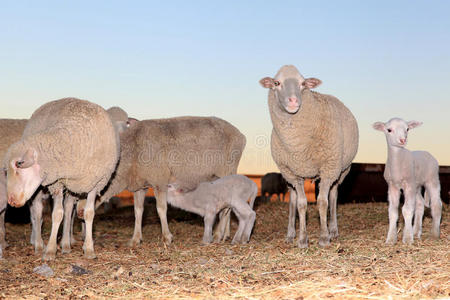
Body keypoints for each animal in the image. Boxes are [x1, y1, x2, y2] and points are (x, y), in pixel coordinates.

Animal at [3, 98, 119, 260]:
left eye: (19, 163)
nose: (11, 201)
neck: (76, 141)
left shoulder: (96, 182)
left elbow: (89, 213)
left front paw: (89, 249)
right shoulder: (56, 183)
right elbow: (57, 214)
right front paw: (50, 250)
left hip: (72, 187)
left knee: (69, 208)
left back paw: (65, 244)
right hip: (43, 187)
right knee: (38, 212)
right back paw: (39, 244)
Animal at [77, 115, 246, 246]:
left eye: (87, 193)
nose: (79, 214)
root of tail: (241, 135)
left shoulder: (160, 181)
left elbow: (161, 209)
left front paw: (167, 237)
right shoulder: (140, 185)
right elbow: (138, 211)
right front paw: (135, 239)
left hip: (227, 170)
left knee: (227, 206)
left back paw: (217, 235)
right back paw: (224, 234)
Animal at [260, 64, 358, 247]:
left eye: (303, 83)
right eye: (276, 83)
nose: (293, 101)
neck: (297, 144)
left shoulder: (328, 168)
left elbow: (323, 202)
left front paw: (324, 237)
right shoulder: (293, 172)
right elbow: (301, 204)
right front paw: (302, 239)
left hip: (341, 169)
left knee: (333, 196)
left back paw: (334, 230)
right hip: (289, 176)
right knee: (292, 200)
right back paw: (290, 234)